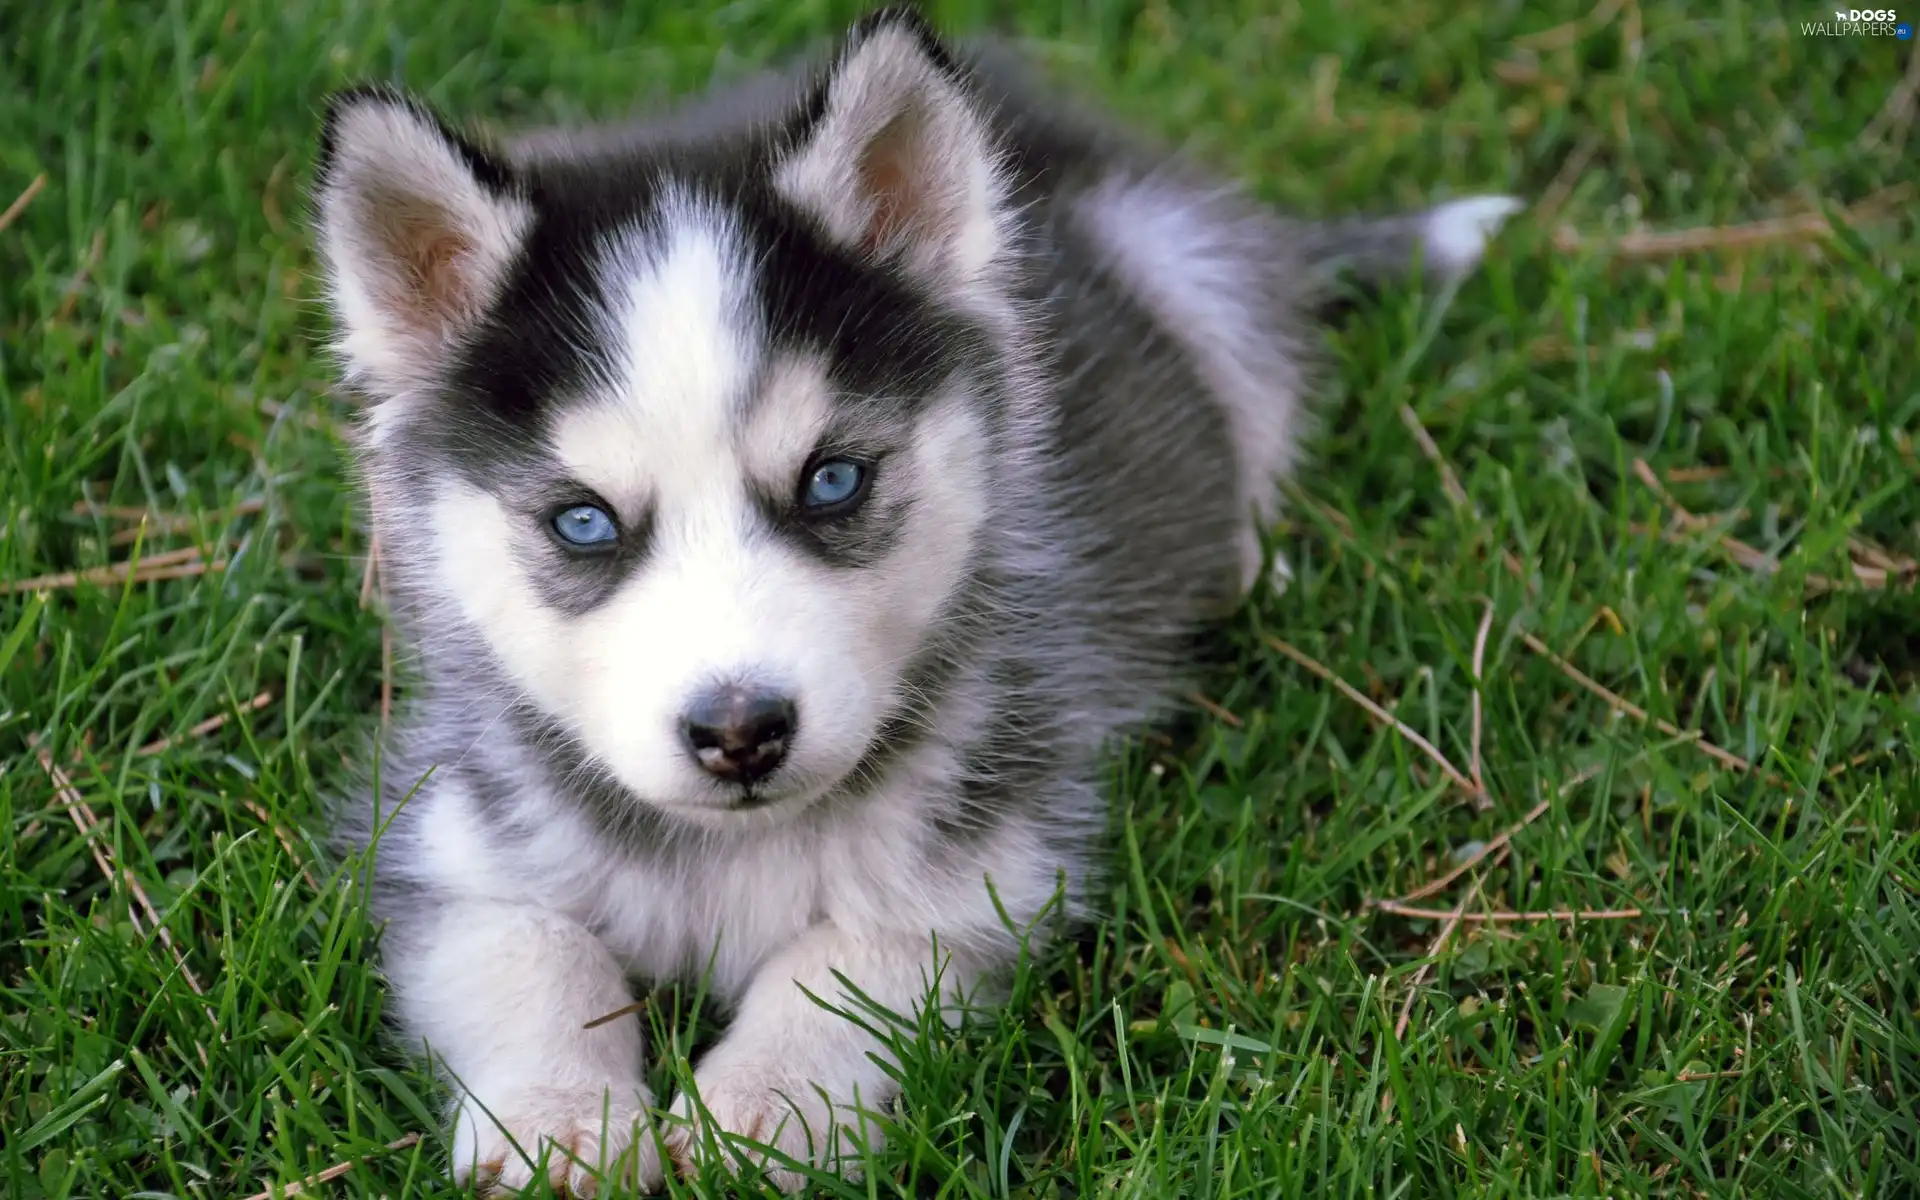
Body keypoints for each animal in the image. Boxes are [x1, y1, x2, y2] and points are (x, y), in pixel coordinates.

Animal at [311, 7, 1512, 1190]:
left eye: (833, 480)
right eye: (584, 523)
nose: (741, 733)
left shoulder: (996, 855)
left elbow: (849, 958)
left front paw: (762, 1108)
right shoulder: (445, 832)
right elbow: (530, 950)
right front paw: (556, 1121)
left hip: (1191, 272)